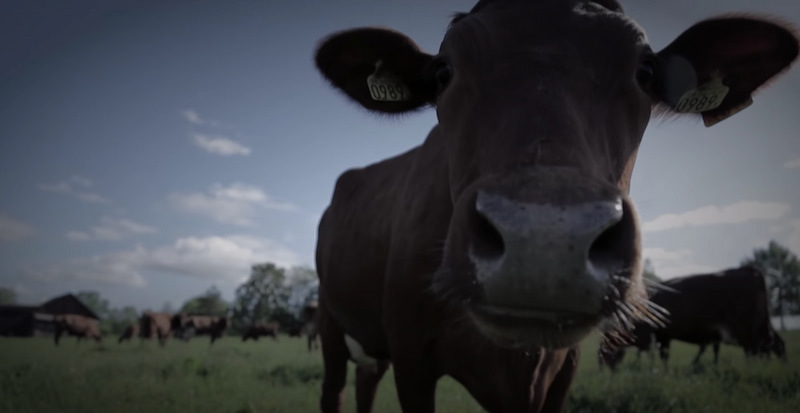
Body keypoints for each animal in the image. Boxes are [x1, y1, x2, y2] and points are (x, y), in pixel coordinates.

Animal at [599, 266, 786, 370]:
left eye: (605, 348)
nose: (602, 368)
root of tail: (751, 271)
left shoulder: (662, 336)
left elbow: (664, 356)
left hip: (748, 331)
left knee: (755, 351)